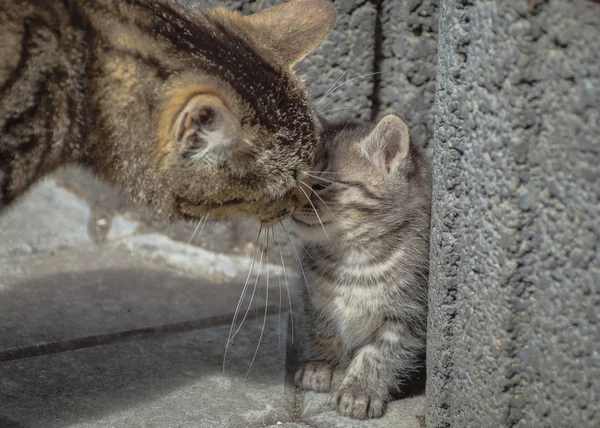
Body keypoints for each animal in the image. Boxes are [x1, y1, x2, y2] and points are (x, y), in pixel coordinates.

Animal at [292, 113, 428, 418]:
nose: (289, 202)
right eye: (296, 180)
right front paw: (326, 364)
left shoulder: (410, 316)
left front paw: (359, 391)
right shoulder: (317, 301)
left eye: (321, 185)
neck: (351, 257)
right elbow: (324, 330)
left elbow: (380, 354)